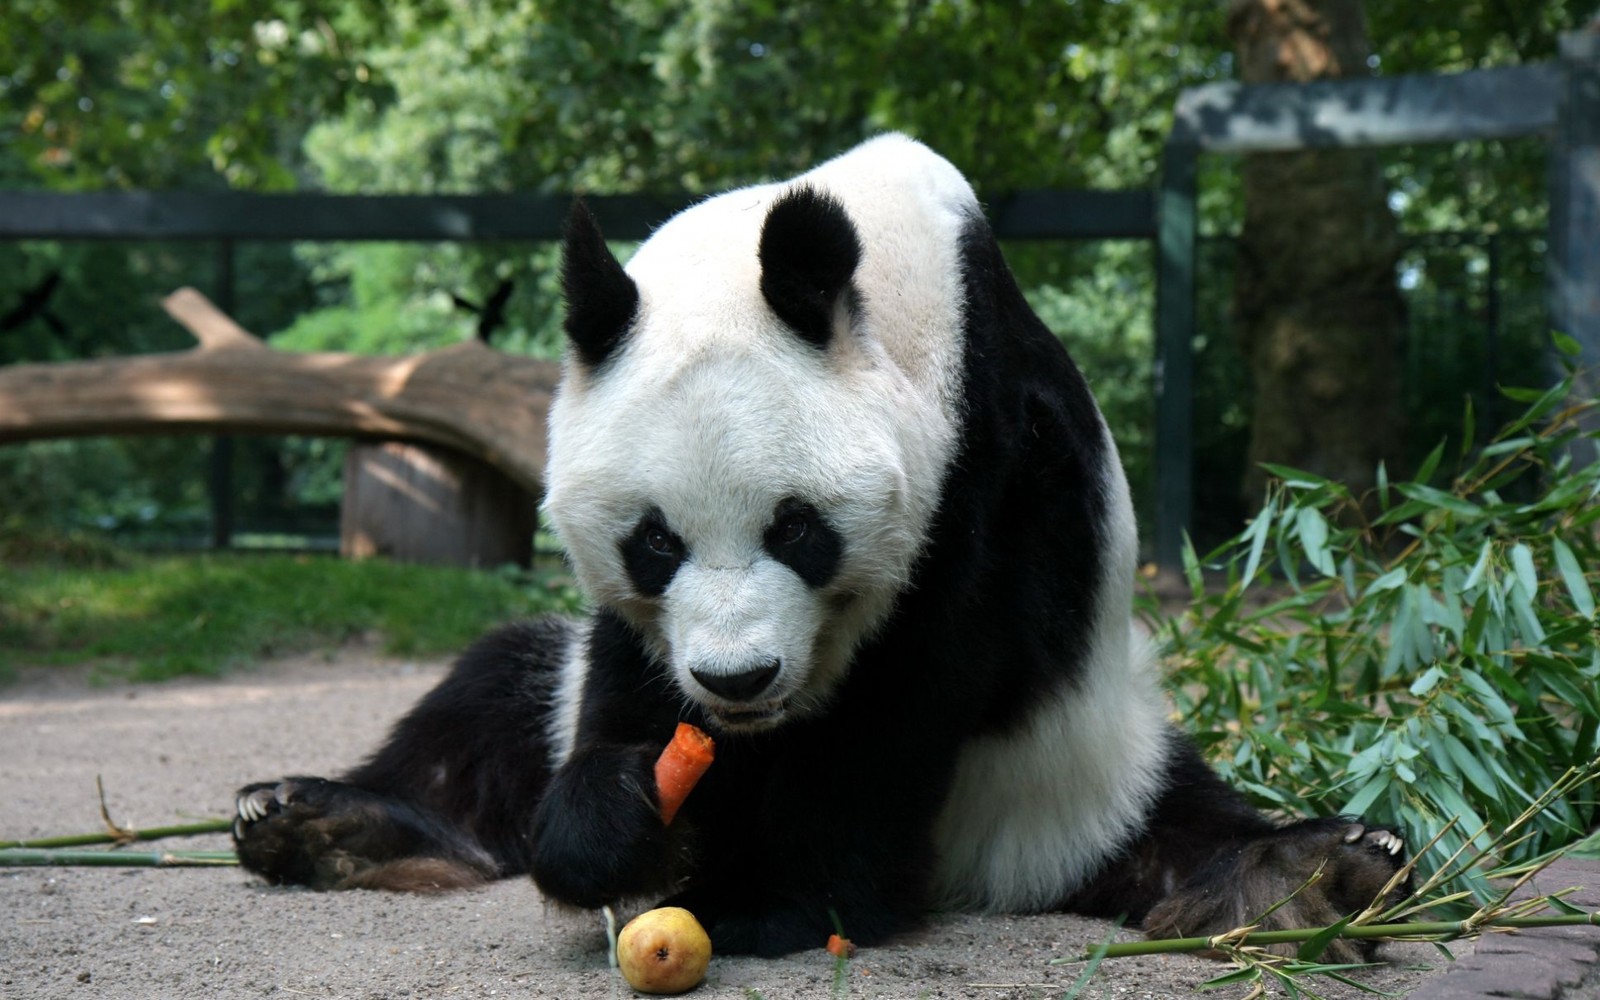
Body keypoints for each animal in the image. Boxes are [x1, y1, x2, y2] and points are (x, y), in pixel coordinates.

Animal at [232, 134, 1408, 960]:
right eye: (653, 542)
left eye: (795, 529)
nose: (737, 679)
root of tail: (996, 875)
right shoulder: (637, 636)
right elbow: (623, 686)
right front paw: (621, 829)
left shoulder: (984, 464)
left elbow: (906, 696)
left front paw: (770, 904)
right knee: (490, 699)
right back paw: (315, 821)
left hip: (1083, 762)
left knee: (1175, 829)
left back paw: (1305, 876)